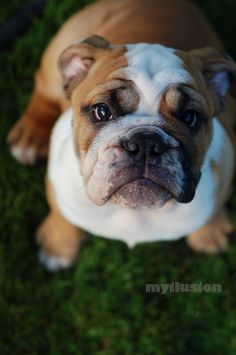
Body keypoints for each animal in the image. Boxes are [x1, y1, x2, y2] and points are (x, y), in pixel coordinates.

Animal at [7, 0, 236, 270]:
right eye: (102, 111)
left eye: (190, 117)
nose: (147, 142)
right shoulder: (58, 182)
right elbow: (60, 214)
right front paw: (58, 245)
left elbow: (215, 207)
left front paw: (210, 233)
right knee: (43, 87)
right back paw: (29, 136)